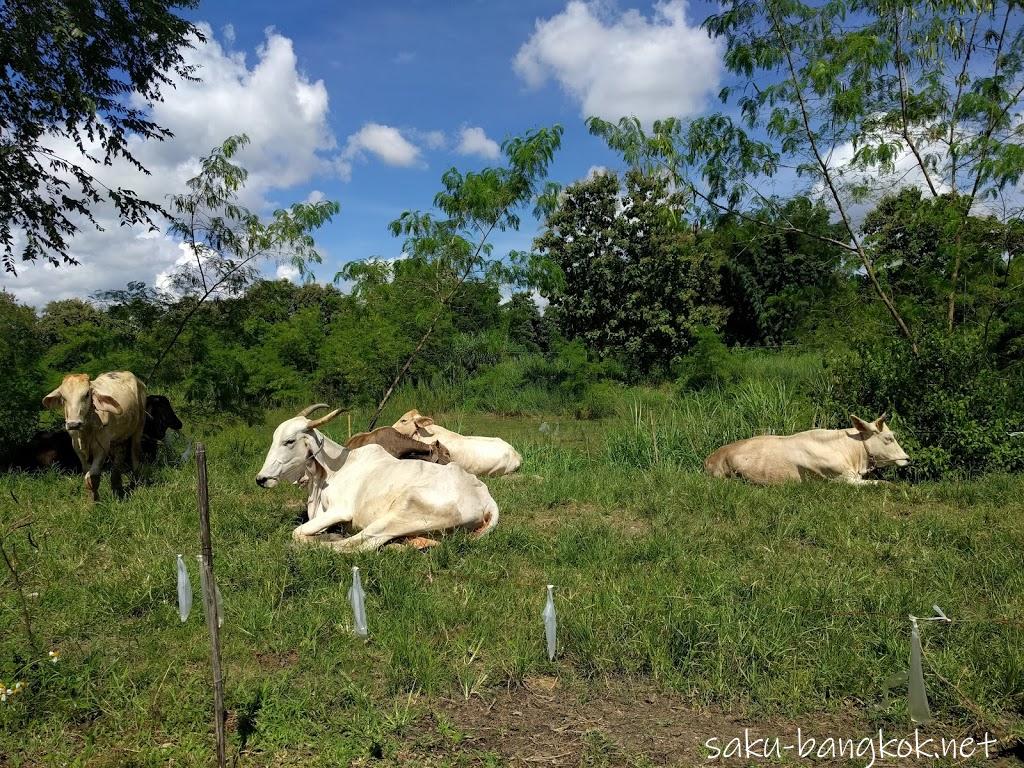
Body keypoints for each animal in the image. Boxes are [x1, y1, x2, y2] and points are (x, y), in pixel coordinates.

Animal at [42, 370, 148, 501]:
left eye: (87, 394)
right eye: (63, 397)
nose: (73, 424)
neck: (85, 431)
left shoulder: (102, 447)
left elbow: (93, 477)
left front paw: (95, 503)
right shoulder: (77, 448)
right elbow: (86, 475)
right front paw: (91, 500)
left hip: (139, 427)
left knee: (135, 454)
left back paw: (136, 481)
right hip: (118, 438)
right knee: (119, 456)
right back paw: (116, 486)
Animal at [258, 405, 501, 548]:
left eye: (289, 441)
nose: (261, 479)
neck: (333, 470)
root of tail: (486, 499)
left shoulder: (340, 511)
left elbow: (297, 532)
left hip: (399, 514)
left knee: (356, 546)